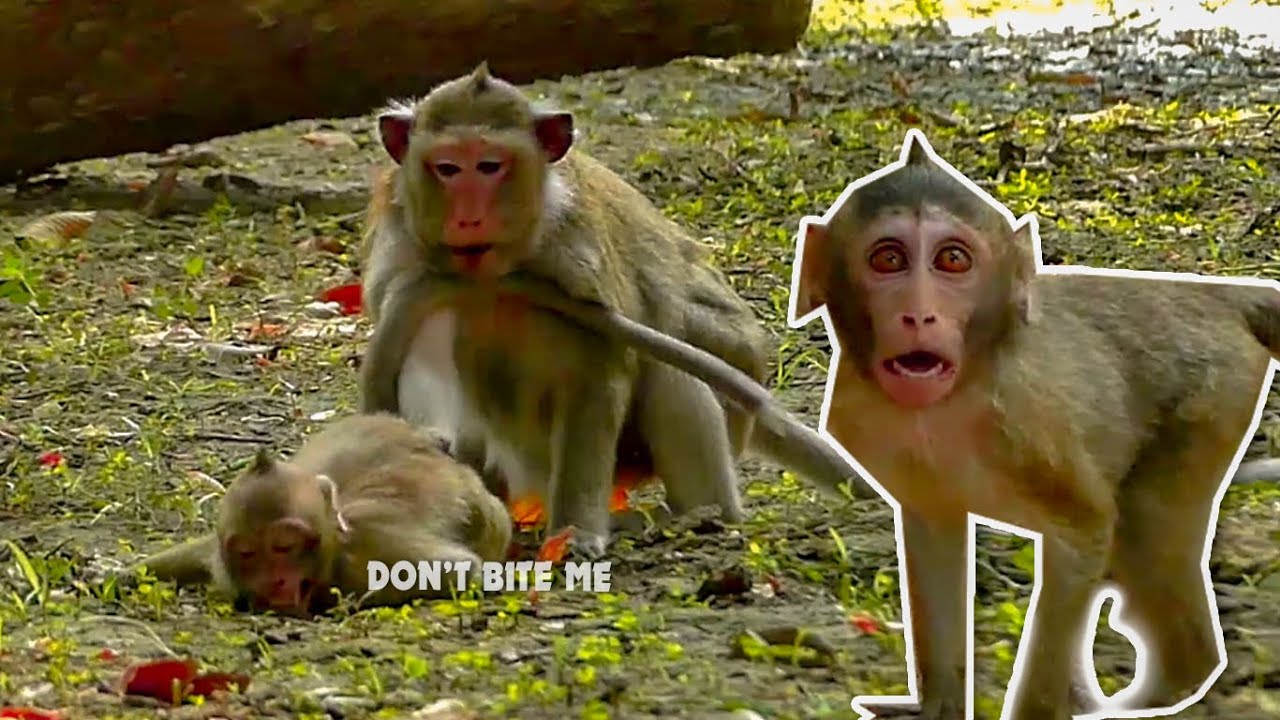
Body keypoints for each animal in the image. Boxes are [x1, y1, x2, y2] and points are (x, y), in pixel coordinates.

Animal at [357, 63, 873, 556]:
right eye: (447, 168)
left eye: (488, 166)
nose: (468, 217)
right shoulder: (405, 262)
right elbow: (421, 355)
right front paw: (428, 444)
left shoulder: (580, 265)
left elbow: (599, 377)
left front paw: (576, 533)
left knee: (673, 370)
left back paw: (702, 515)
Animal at [790, 130, 1280, 720]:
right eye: (888, 259)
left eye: (952, 260)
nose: (918, 314)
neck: (959, 390)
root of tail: (1218, 293)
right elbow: (935, 531)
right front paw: (940, 705)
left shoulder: (1027, 421)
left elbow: (1085, 530)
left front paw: (1034, 709)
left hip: (1209, 398)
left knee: (1140, 522)